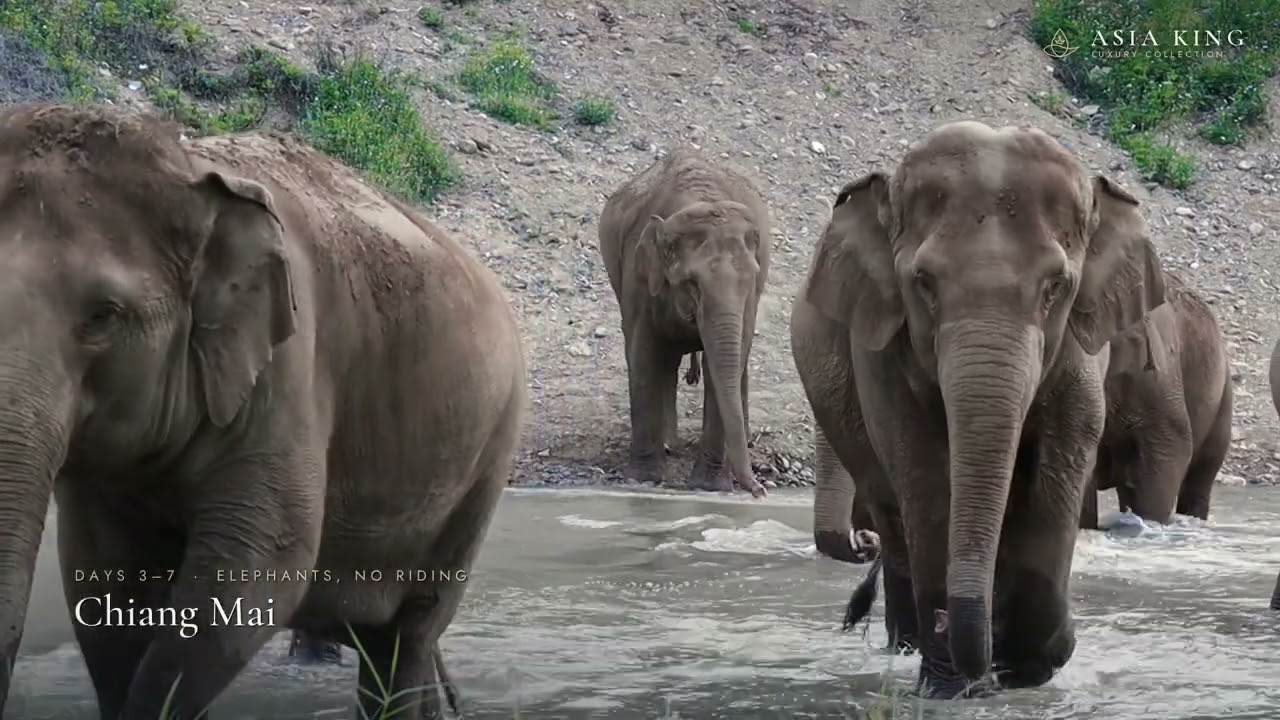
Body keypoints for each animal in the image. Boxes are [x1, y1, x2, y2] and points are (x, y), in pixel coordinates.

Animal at [0, 104, 527, 719]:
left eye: (103, 315)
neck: (189, 164)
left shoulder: (287, 369)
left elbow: (257, 568)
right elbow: (106, 588)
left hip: (487, 458)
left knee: (410, 634)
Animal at [598, 147, 771, 496]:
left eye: (750, 280)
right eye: (692, 283)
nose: (759, 489)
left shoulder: (749, 301)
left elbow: (724, 365)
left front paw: (710, 486)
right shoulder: (639, 276)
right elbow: (644, 356)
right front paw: (643, 479)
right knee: (662, 360)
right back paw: (669, 445)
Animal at [790, 120, 1168, 698]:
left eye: (1056, 287)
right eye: (923, 284)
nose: (951, 622)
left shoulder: (1080, 350)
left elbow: (1063, 454)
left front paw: (1033, 666)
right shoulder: (881, 349)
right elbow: (922, 470)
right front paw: (953, 687)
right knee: (893, 518)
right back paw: (911, 648)